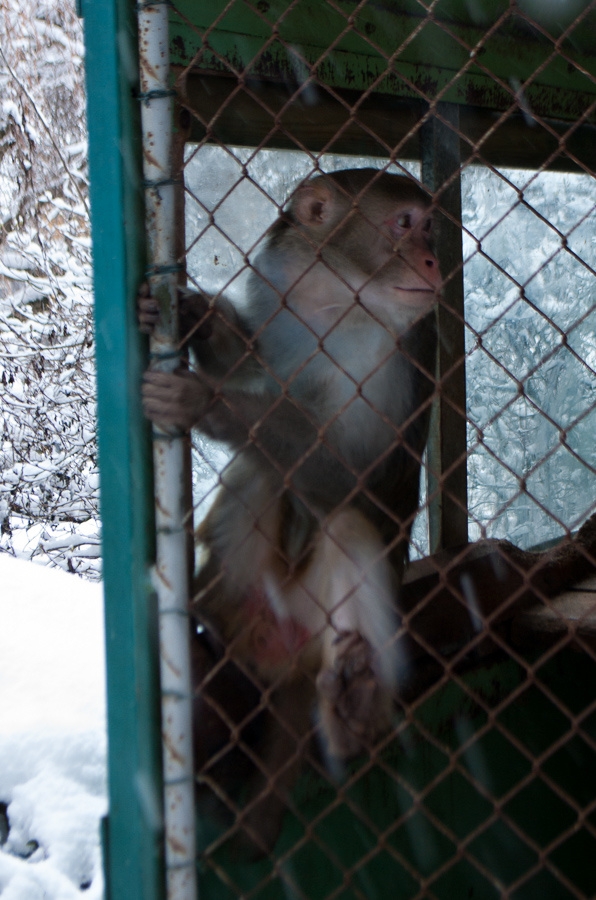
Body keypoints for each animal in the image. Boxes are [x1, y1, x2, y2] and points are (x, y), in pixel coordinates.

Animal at [141, 168, 440, 849]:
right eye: (406, 225)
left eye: (428, 228)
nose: (435, 260)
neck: (339, 300)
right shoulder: (279, 294)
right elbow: (256, 360)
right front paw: (197, 319)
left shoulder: (391, 355)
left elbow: (350, 477)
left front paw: (211, 404)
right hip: (250, 594)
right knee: (259, 478)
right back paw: (201, 620)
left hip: (317, 617)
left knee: (341, 520)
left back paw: (354, 715)